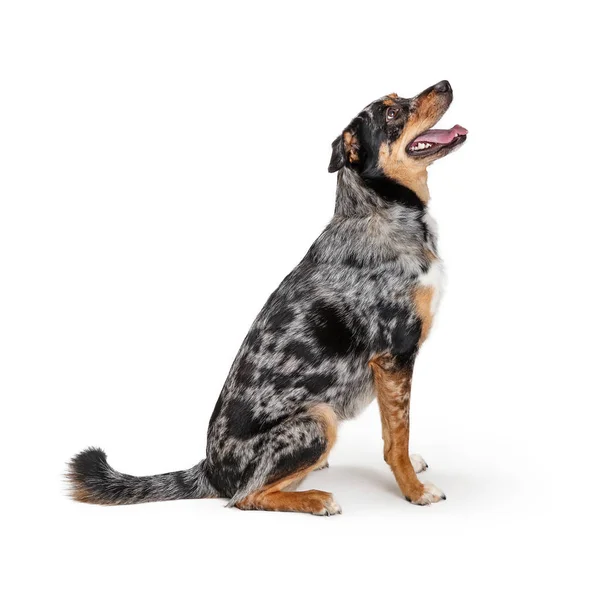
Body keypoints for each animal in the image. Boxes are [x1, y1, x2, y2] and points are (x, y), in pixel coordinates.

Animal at [68, 81, 466, 516]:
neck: (379, 211)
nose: (445, 83)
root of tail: (209, 470)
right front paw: (414, 489)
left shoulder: (388, 370)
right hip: (318, 419)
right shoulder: (395, 356)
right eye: (392, 114)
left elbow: (393, 431)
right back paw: (315, 498)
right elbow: (398, 437)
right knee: (245, 496)